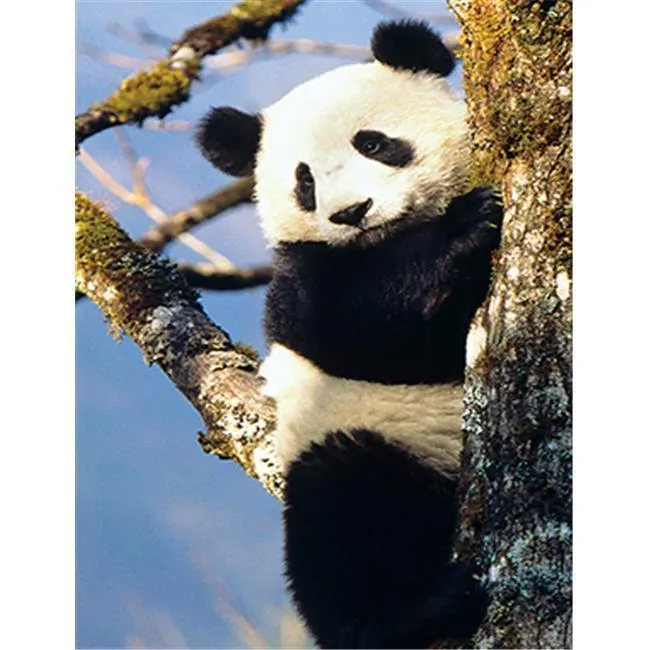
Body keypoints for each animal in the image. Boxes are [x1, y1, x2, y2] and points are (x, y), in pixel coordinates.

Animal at [196, 19, 502, 649]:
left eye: (374, 143)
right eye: (304, 182)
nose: (352, 212)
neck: (393, 237)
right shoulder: (303, 277)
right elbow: (360, 324)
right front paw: (468, 223)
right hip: (368, 436)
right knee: (345, 517)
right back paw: (414, 611)